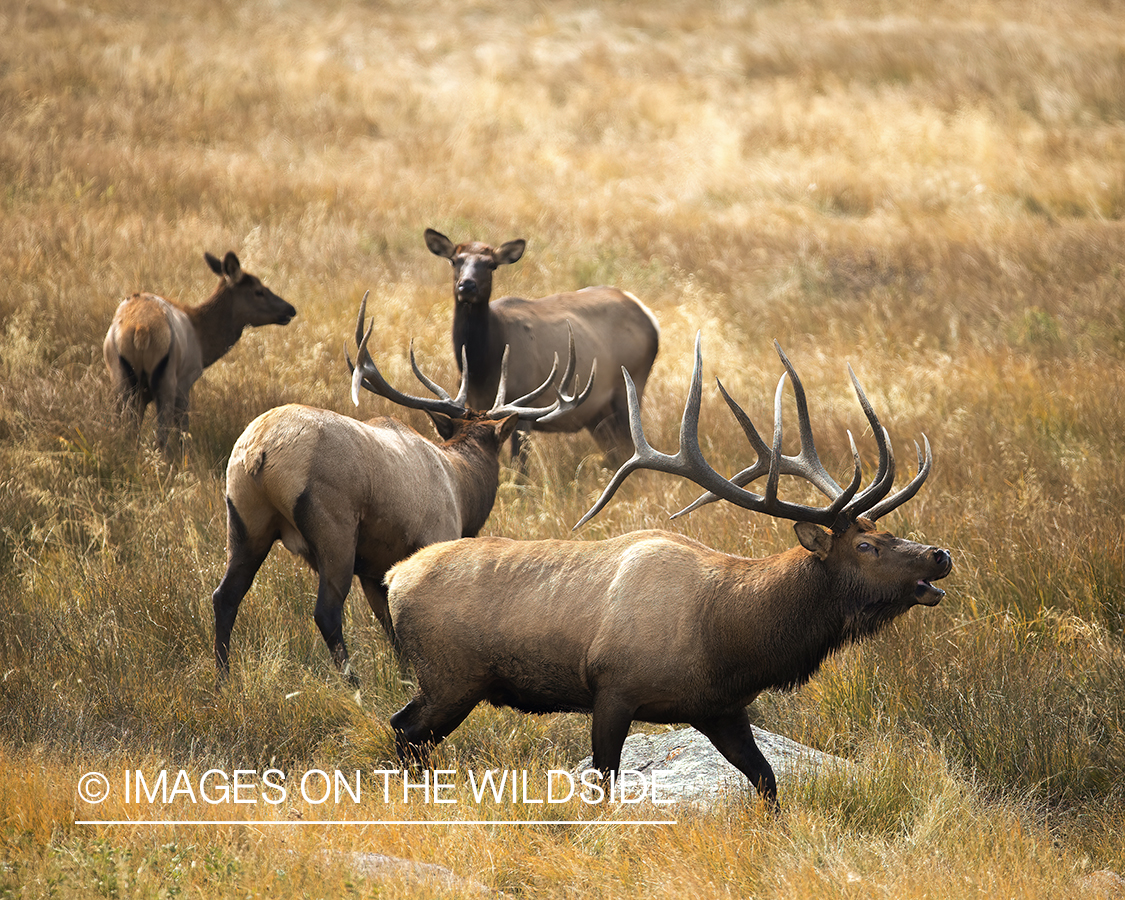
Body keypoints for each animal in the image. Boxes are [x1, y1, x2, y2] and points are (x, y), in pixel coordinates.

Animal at [103, 249, 297, 456]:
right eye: (258, 290)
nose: (290, 309)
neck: (203, 343)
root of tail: (141, 330)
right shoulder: (186, 380)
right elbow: (183, 432)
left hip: (120, 377)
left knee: (123, 430)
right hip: (166, 380)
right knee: (162, 435)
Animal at [212, 292, 598, 684]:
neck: (462, 489)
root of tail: (259, 451)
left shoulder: (374, 567)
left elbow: (391, 626)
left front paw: (405, 675)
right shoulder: (435, 536)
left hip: (245, 519)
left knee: (225, 595)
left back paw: (225, 677)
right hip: (334, 529)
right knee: (326, 612)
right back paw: (354, 684)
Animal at [384, 335, 949, 810]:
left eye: (887, 530)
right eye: (866, 545)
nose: (940, 554)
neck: (729, 637)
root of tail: (395, 577)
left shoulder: (719, 708)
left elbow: (766, 779)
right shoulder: (613, 688)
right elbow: (603, 781)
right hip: (450, 676)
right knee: (404, 730)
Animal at [425, 225, 661, 463]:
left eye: (491, 264)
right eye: (455, 260)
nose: (467, 286)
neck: (482, 368)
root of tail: (647, 313)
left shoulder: (522, 405)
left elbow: (519, 466)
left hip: (629, 390)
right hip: (597, 415)